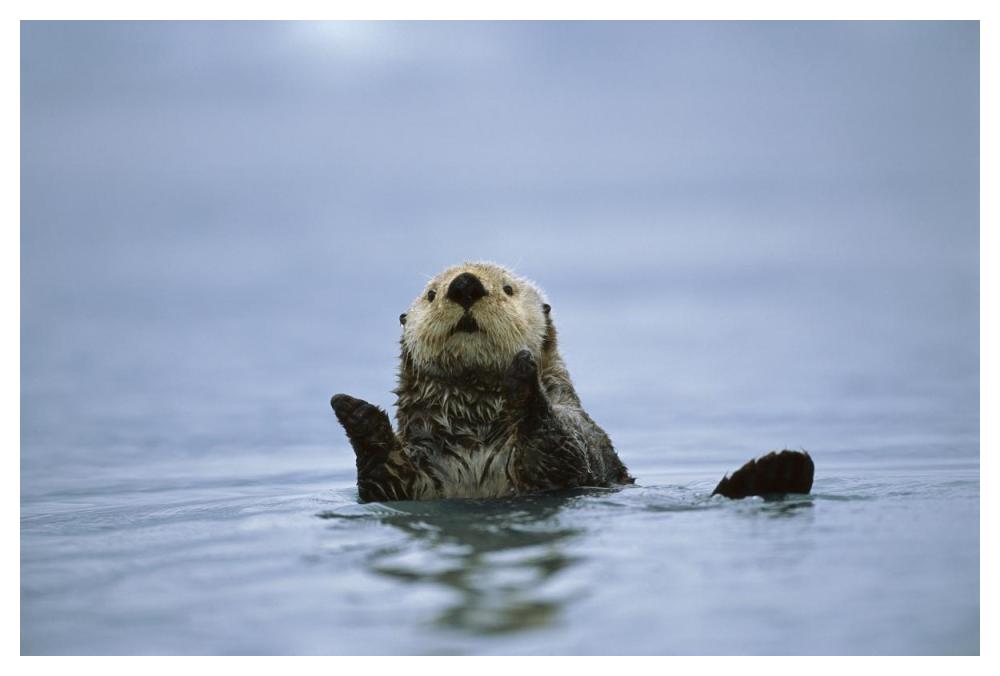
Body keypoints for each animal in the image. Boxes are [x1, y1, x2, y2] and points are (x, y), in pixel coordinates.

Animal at [330, 261, 813, 503]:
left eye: (507, 288)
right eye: (432, 294)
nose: (464, 285)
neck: (474, 429)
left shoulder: (571, 442)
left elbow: (559, 446)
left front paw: (524, 376)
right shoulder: (416, 476)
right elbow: (383, 477)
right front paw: (351, 410)